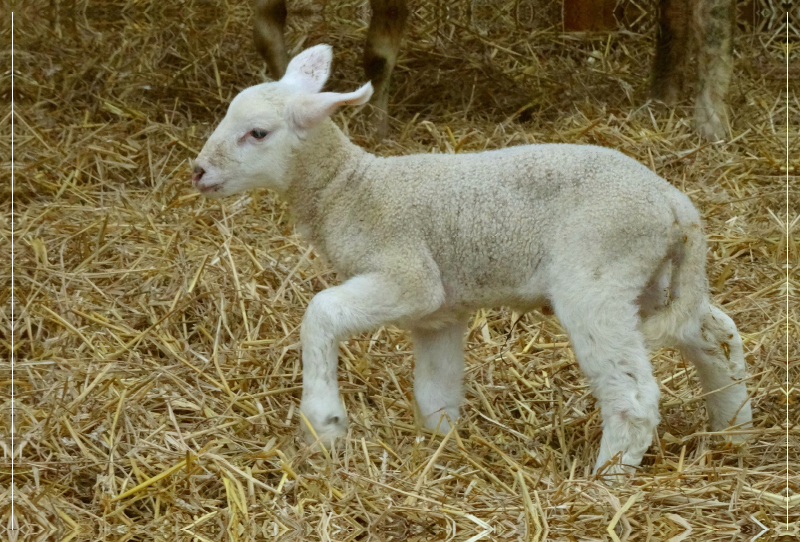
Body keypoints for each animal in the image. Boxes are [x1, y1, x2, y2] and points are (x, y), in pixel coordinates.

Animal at [191, 43, 752, 476]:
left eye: (257, 133)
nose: (197, 171)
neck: (349, 189)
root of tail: (675, 205)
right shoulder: (438, 312)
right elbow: (434, 392)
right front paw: (442, 447)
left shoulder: (409, 275)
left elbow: (321, 311)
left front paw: (324, 423)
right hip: (654, 279)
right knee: (718, 334)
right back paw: (734, 431)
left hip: (598, 277)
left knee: (634, 397)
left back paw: (605, 481)